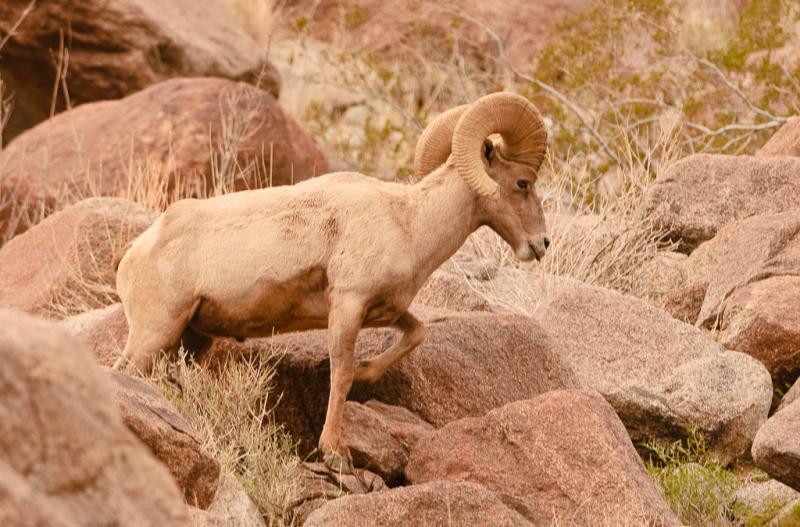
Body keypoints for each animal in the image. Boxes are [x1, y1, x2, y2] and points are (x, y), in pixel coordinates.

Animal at [113, 92, 550, 472]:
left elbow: (416, 333)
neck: (409, 222)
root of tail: (133, 256)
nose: (542, 243)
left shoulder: (385, 310)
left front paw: (367, 371)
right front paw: (335, 453)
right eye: (523, 183)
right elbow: (340, 376)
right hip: (155, 333)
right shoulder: (347, 305)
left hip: (191, 339)